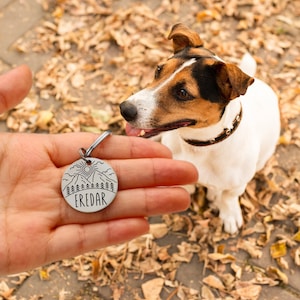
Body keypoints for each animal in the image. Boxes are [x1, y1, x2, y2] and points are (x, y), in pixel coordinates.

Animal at [118, 23, 280, 234]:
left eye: (183, 92)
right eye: (158, 70)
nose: (125, 109)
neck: (198, 145)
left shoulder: (237, 184)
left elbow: (229, 197)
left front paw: (228, 213)